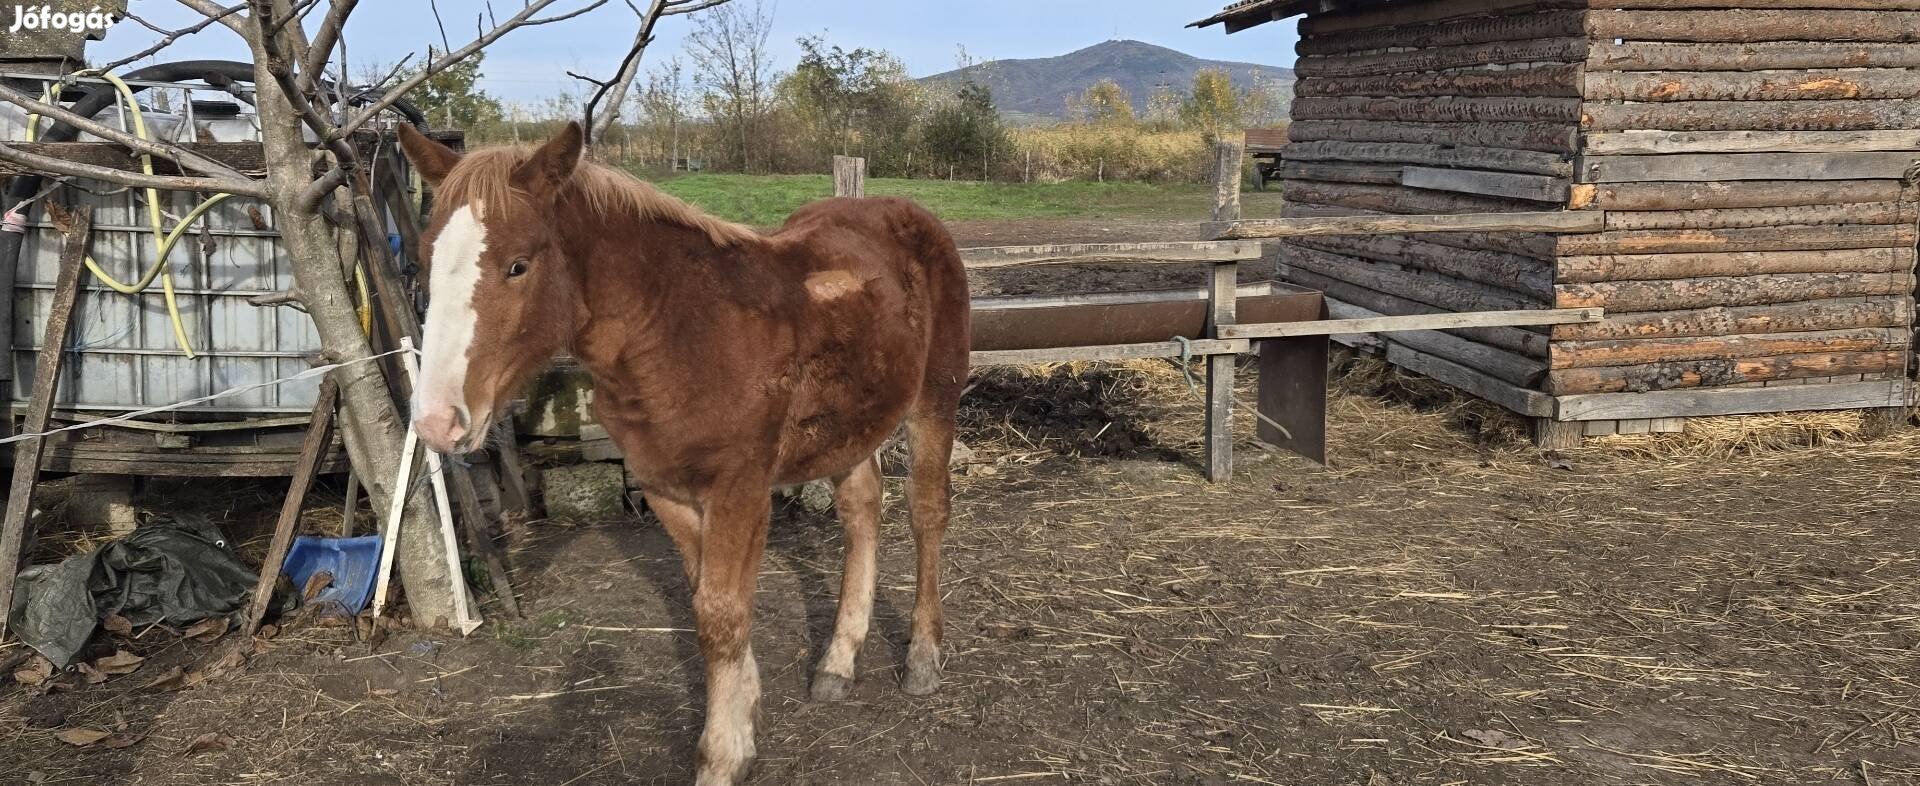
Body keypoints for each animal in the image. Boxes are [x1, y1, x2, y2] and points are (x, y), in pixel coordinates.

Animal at [403, 119, 975, 780]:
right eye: (423, 262)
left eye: (517, 265)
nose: (438, 421)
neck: (678, 332)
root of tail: (909, 212)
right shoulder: (665, 488)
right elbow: (707, 598)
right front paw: (745, 718)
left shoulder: (740, 488)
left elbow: (722, 612)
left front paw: (722, 756)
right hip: (851, 419)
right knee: (861, 510)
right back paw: (837, 662)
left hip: (935, 397)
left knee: (927, 511)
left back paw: (923, 658)